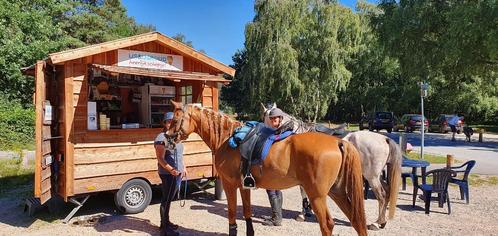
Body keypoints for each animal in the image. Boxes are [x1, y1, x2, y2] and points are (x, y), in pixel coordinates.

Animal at [167, 102, 366, 236]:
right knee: (357, 221)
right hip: (337, 192)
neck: (227, 139)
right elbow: (247, 212)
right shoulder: (244, 186)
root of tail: (338, 141)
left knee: (327, 224)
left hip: (317, 195)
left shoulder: (230, 185)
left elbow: (232, 213)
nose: (167, 139)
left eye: (175, 119)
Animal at [262, 104, 402, 230]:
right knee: (387, 191)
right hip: (376, 176)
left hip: (371, 176)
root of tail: (385, 139)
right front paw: (308, 211)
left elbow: (303, 193)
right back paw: (382, 222)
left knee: (381, 195)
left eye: (265, 117)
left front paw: (303, 214)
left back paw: (376, 223)